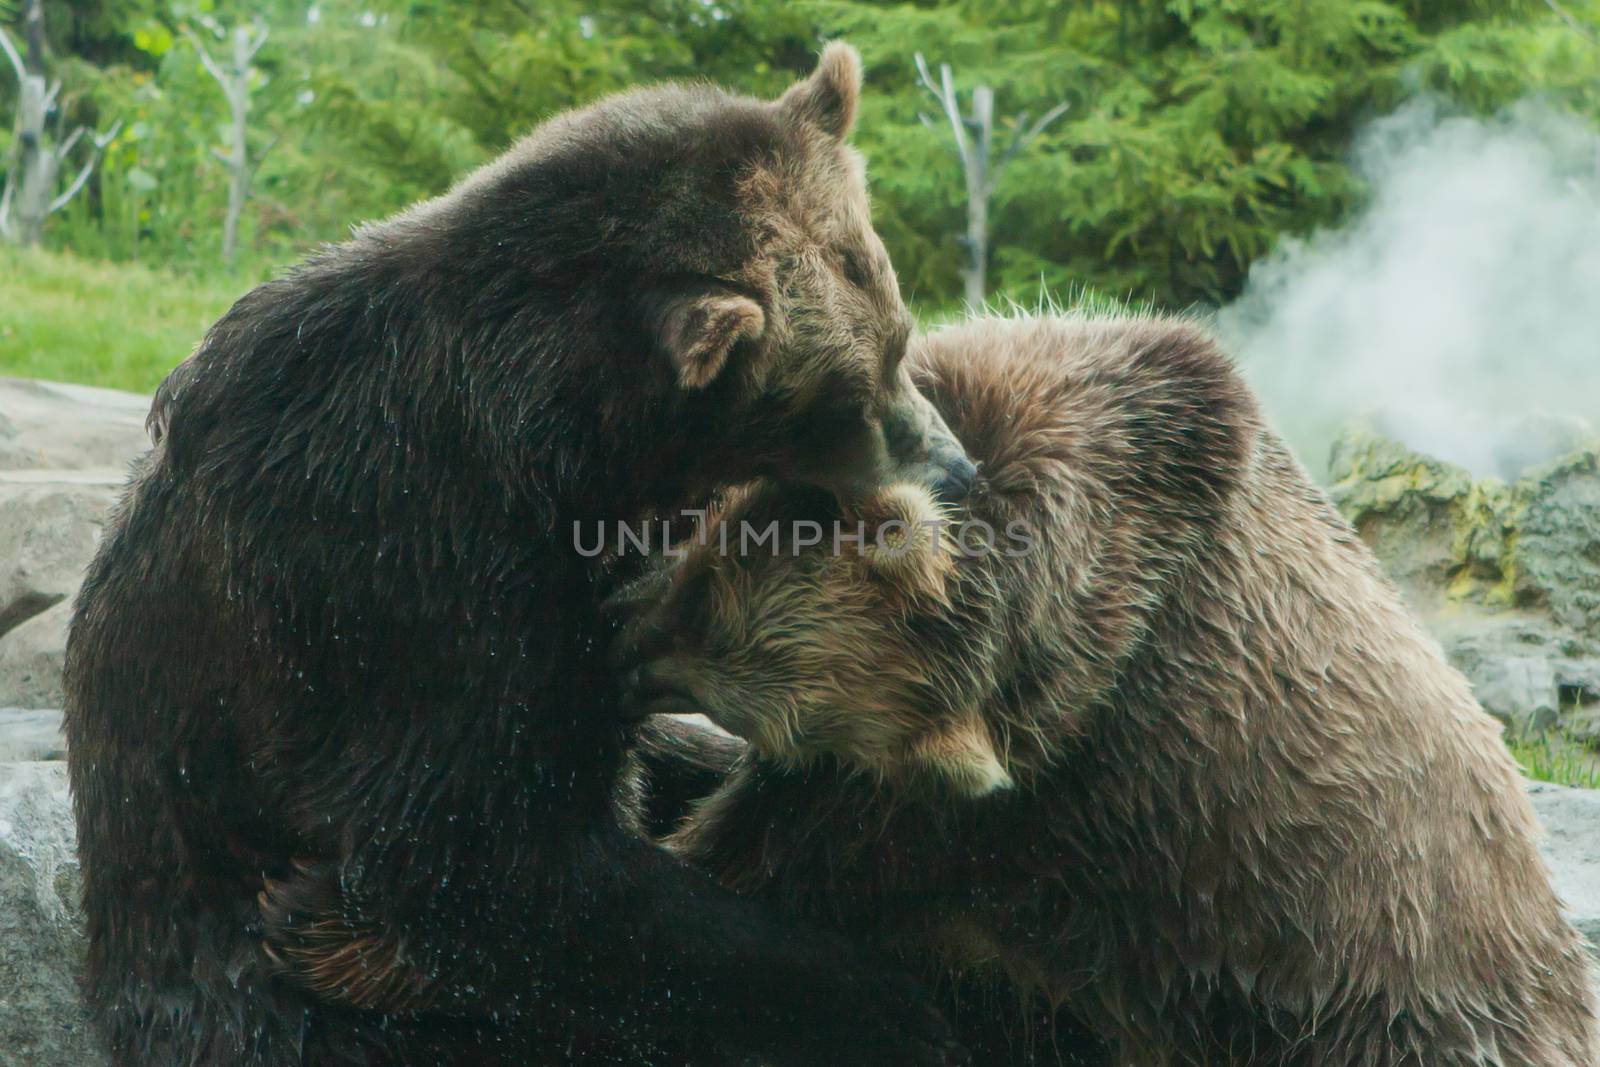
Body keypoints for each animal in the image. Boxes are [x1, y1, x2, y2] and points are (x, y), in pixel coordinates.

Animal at [65, 43, 972, 1067]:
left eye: (899, 337)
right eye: (847, 395)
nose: (959, 466)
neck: (563, 438)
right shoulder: (408, 564)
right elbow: (475, 860)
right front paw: (890, 999)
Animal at [614, 313, 1600, 1062]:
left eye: (702, 625)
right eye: (693, 571)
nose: (620, 650)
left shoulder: (1011, 799)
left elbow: (754, 864)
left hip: (1385, 991)